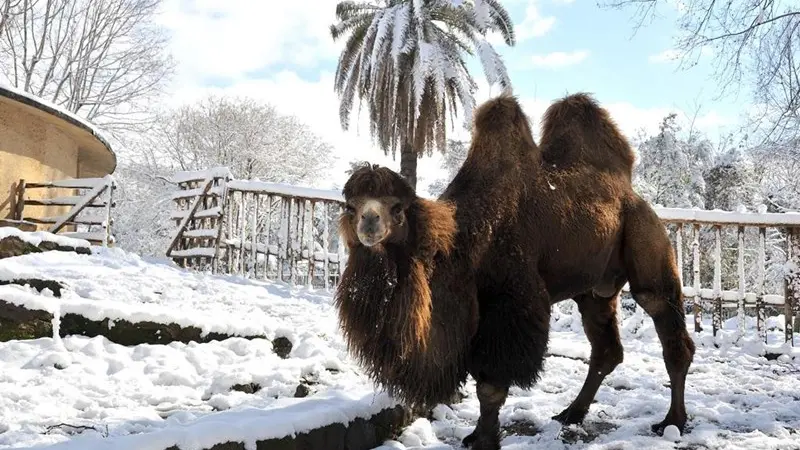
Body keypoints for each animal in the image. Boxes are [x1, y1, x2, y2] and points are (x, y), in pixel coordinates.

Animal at [332, 93, 692, 448]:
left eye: (397, 207)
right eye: (350, 206)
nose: (369, 222)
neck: (463, 241)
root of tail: (633, 194)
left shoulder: (511, 303)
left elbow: (491, 387)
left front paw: (486, 441)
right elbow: (481, 381)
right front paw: (475, 435)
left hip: (646, 236)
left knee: (663, 317)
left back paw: (673, 421)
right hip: (594, 289)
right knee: (605, 348)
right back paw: (571, 413)